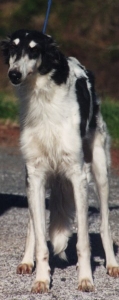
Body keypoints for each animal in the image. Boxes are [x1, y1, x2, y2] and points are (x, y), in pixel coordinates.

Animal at [1, 29, 119, 292]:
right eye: (13, 48)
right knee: (32, 226)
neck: (42, 99)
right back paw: (27, 261)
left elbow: (83, 241)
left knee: (104, 225)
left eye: (34, 49)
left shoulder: (77, 174)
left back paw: (111, 264)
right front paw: (41, 279)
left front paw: (85, 279)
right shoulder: (35, 174)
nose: (14, 74)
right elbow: (40, 241)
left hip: (100, 172)